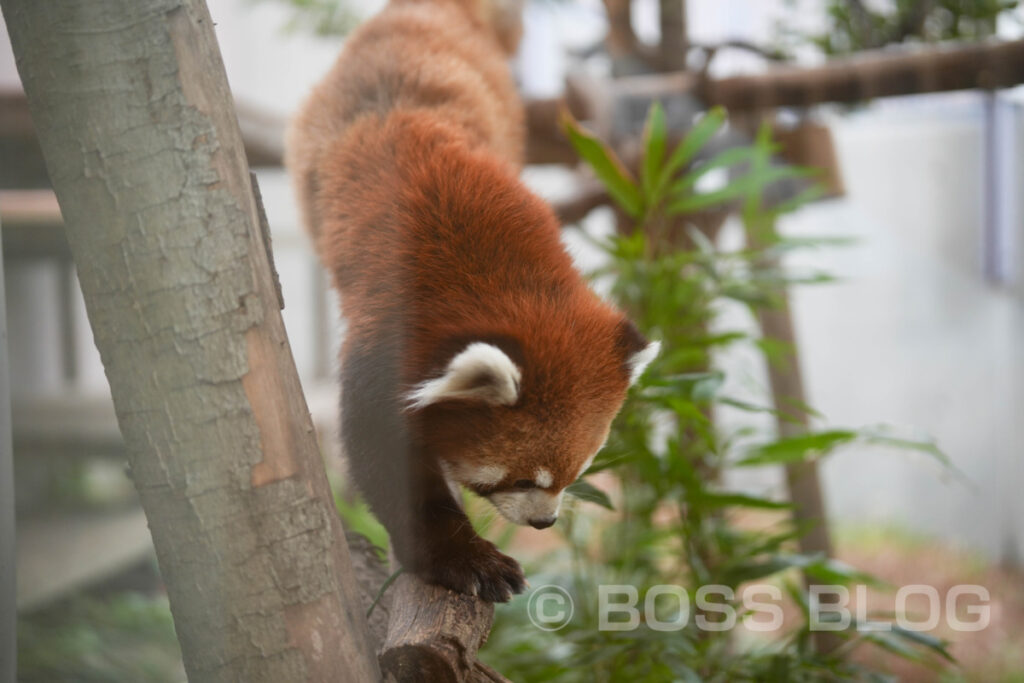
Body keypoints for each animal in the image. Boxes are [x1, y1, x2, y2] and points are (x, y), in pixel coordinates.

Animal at [284, 0, 659, 602]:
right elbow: (386, 457)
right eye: (522, 477)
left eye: (578, 472)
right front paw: (463, 558)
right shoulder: (385, 340)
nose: (545, 522)